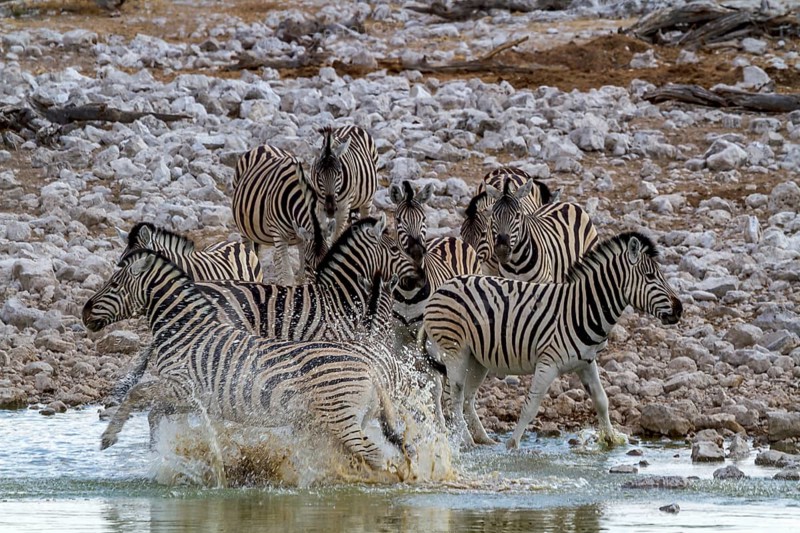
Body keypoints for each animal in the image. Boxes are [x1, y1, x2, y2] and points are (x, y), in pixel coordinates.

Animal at [82, 250, 416, 470]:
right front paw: (157, 453)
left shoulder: (182, 386)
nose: (84, 312)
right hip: (344, 419)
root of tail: (370, 370)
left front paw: (108, 438)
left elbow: (137, 393)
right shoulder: (191, 397)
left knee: (374, 455)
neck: (186, 330)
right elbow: (153, 413)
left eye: (114, 284)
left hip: (341, 419)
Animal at [231, 144, 330, 284]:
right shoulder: (279, 234)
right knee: (249, 250)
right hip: (245, 227)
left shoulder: (299, 235)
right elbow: (289, 274)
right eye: (310, 263)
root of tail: (263, 145)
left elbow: (300, 274)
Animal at [422, 232, 683, 450]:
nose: (680, 309)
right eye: (650, 276)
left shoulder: (586, 363)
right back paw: (466, 440)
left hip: (478, 358)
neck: (582, 309)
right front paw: (513, 446)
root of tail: (443, 287)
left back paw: (483, 439)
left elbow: (602, 400)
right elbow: (530, 407)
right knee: (454, 396)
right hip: (454, 350)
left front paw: (610, 441)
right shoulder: (548, 364)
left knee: (467, 398)